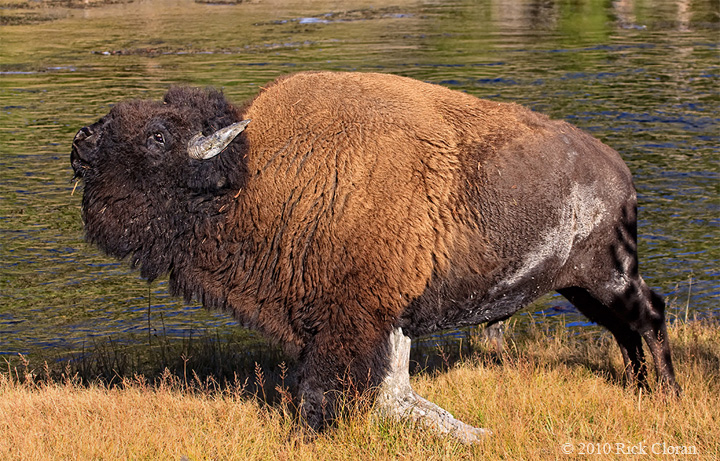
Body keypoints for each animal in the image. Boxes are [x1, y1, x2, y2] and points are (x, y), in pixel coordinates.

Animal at [71, 72, 679, 441]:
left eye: (156, 137)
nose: (80, 142)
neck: (250, 174)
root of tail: (618, 171)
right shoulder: (365, 320)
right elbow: (385, 389)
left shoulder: (350, 319)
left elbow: (324, 389)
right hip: (577, 285)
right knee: (627, 328)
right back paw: (643, 390)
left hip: (606, 275)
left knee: (649, 314)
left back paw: (667, 394)